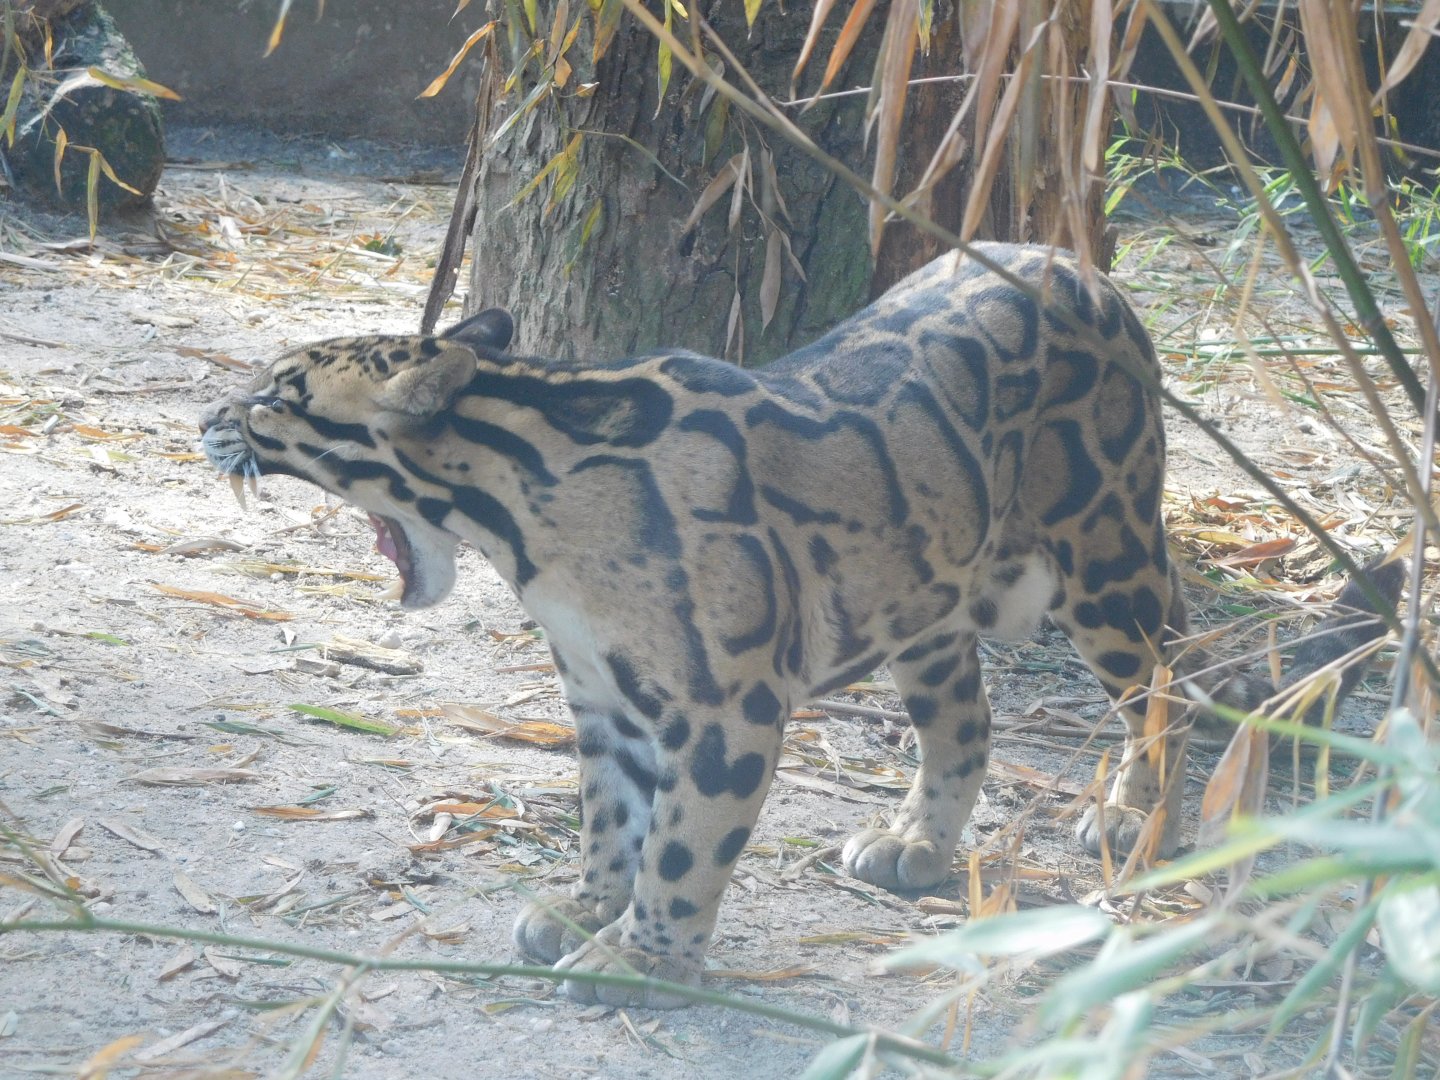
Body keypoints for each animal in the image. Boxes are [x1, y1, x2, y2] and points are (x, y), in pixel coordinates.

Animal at [199, 243, 1400, 1009]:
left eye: (277, 393)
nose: (207, 415)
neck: (520, 505)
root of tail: (1086, 265)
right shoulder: (603, 697)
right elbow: (608, 820)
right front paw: (590, 909)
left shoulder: (726, 704)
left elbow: (685, 844)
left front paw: (644, 961)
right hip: (927, 596)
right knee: (968, 721)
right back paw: (919, 843)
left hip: (1102, 551)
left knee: (1163, 683)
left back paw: (1136, 817)